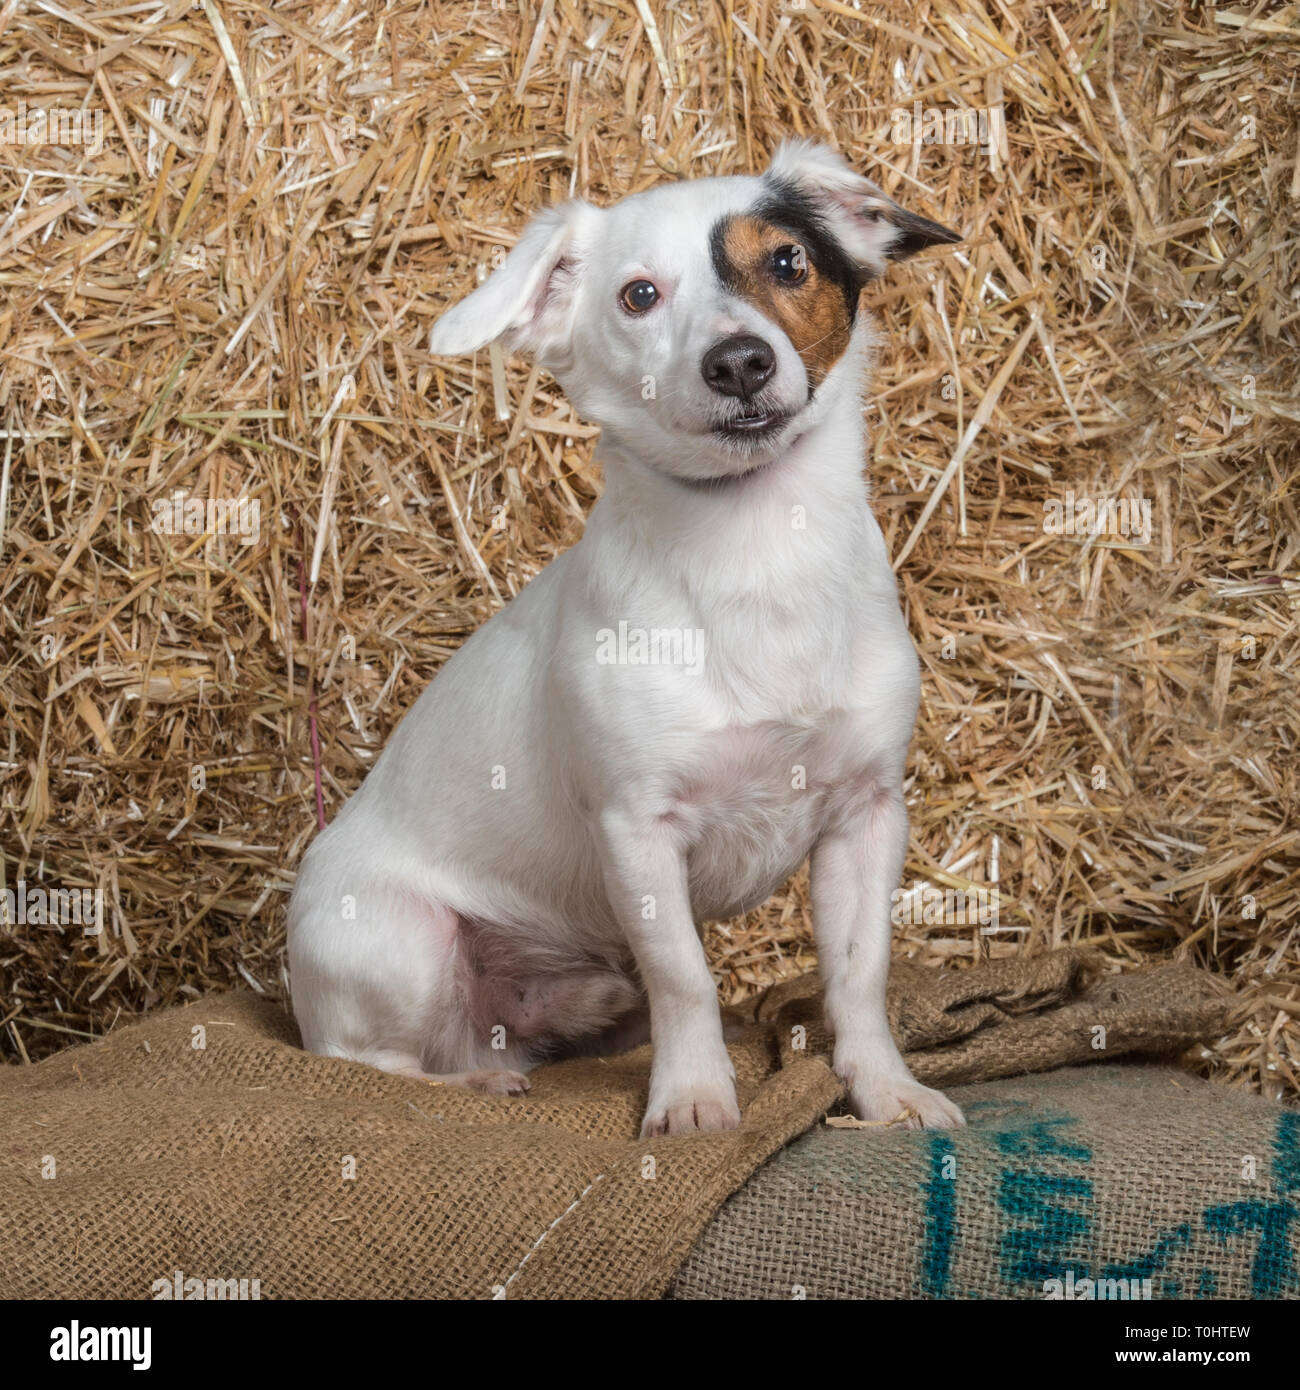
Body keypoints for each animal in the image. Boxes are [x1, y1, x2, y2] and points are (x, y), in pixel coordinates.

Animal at [291, 141, 967, 1134]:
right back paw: (477, 1082)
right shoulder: (637, 830)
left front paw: (883, 1089)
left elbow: (858, 975)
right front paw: (693, 1099)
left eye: (788, 262)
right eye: (639, 296)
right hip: (398, 942)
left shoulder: (866, 818)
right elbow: (685, 976)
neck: (757, 549)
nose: (739, 362)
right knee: (370, 1064)